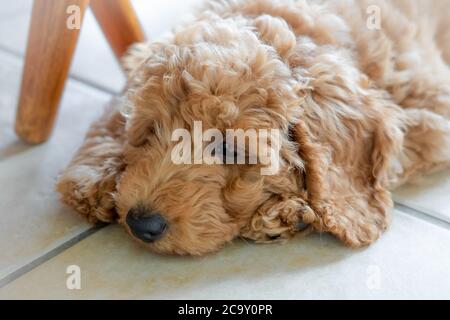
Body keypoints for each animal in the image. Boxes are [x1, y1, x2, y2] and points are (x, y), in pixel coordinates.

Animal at [57, 0, 450, 255]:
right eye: (151, 131)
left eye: (230, 148)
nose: (141, 224)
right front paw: (93, 176)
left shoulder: (431, 111)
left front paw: (285, 213)